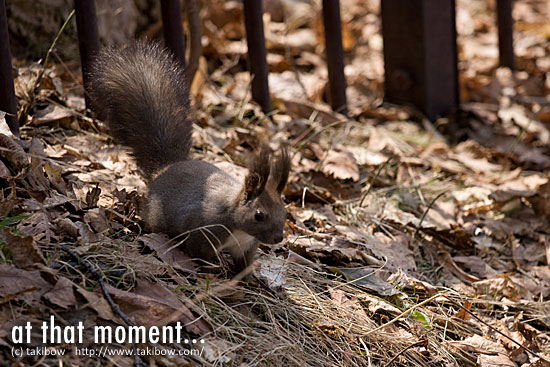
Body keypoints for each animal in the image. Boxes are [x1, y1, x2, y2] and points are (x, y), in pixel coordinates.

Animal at [89, 41, 294, 274]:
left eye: (284, 213)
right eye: (259, 215)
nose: (278, 238)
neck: (240, 228)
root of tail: (167, 168)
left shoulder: (246, 246)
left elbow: (244, 264)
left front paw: (250, 277)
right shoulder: (205, 231)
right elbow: (199, 253)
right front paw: (214, 268)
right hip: (158, 216)